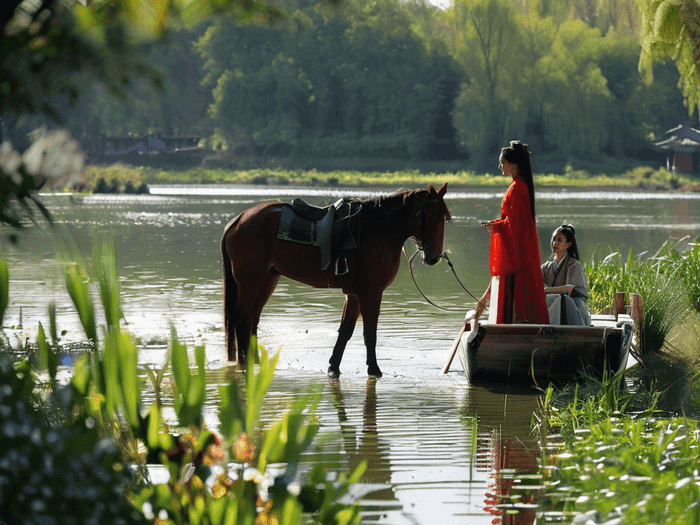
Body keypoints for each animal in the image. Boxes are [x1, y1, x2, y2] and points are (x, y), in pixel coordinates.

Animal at [221, 183, 452, 376]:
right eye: (430, 216)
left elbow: (346, 331)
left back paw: (254, 361)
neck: (375, 230)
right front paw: (374, 369)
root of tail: (238, 220)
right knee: (241, 319)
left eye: (444, 217)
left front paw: (334, 366)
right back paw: (244, 364)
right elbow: (370, 332)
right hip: (250, 282)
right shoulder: (371, 293)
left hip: (267, 280)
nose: (433, 258)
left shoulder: (354, 294)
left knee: (252, 318)